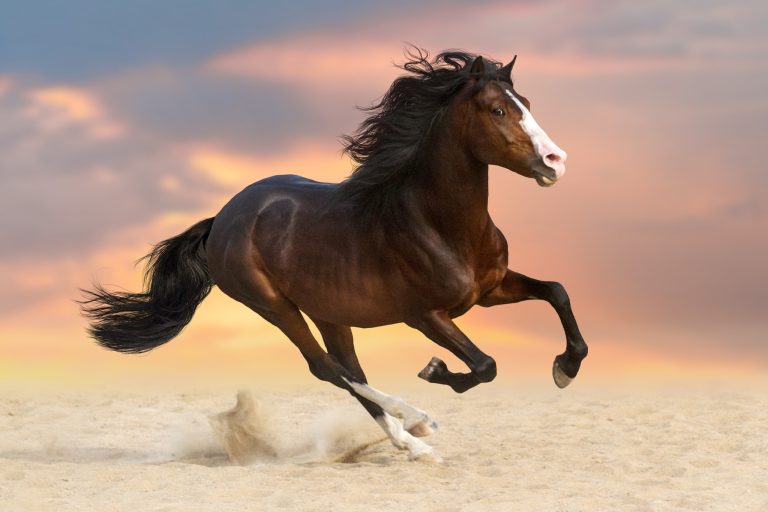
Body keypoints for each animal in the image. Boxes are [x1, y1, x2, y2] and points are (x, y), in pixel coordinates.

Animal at [81, 49, 588, 461]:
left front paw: (565, 368)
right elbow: (485, 366)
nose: (556, 162)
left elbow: (558, 292)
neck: (438, 223)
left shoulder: (489, 289)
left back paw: (410, 437)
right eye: (497, 109)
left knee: (346, 367)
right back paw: (417, 426)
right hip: (274, 306)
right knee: (326, 369)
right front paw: (434, 370)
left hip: (329, 311)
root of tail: (222, 218)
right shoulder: (425, 315)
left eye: (528, 104)